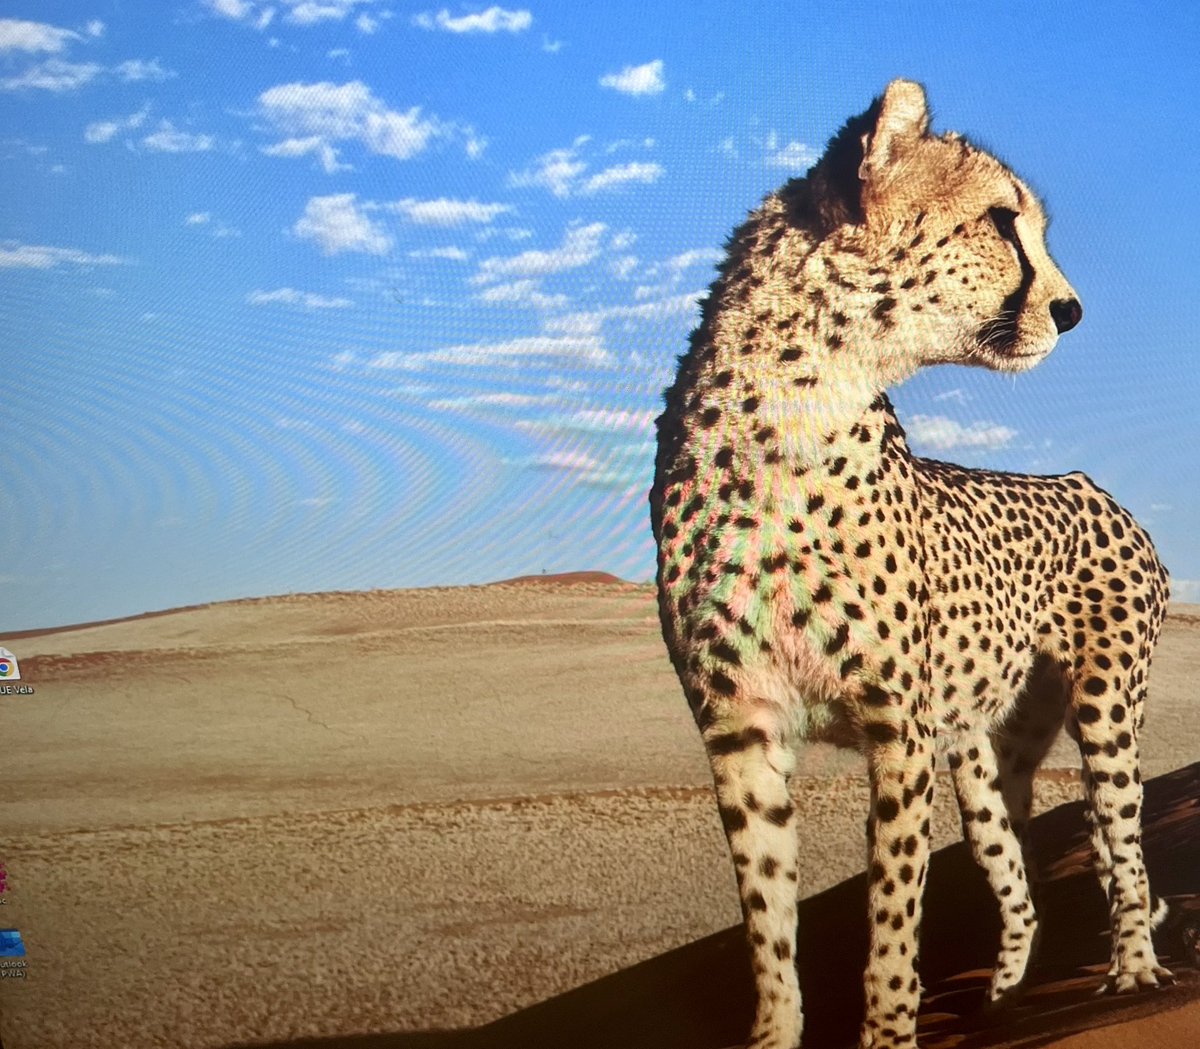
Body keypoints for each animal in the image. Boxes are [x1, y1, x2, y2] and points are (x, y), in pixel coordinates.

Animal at [650, 79, 1172, 1049]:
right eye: (1002, 220)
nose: (1073, 309)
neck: (789, 417)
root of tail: (1092, 485)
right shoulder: (739, 723)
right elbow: (767, 920)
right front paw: (776, 1029)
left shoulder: (899, 727)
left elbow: (892, 915)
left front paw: (890, 1029)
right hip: (981, 752)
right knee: (1018, 874)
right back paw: (1005, 994)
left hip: (1105, 707)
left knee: (1123, 845)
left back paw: (1133, 972)